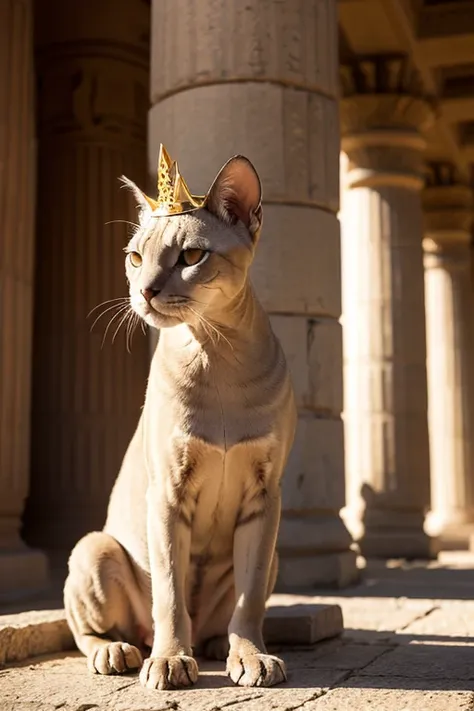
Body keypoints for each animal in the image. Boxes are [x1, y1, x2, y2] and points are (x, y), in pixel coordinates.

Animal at [63, 149, 296, 688]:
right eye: (135, 257)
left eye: (191, 257)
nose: (145, 291)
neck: (217, 351)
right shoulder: (168, 493)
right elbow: (169, 593)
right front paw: (169, 662)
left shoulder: (265, 495)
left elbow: (250, 596)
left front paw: (253, 657)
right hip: (94, 547)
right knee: (87, 629)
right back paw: (122, 653)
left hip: (273, 549)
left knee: (222, 614)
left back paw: (217, 646)